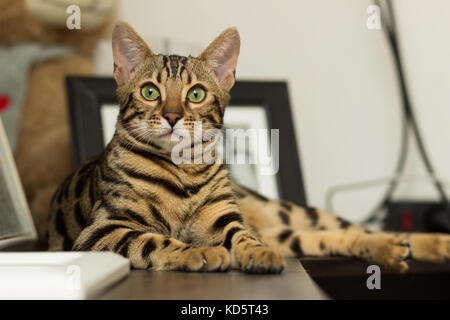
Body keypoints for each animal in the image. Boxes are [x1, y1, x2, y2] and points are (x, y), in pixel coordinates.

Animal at [47, 21, 448, 272]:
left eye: (196, 94)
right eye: (150, 91)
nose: (173, 116)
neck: (182, 172)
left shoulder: (226, 219)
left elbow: (243, 237)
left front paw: (256, 254)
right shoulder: (102, 231)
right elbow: (154, 241)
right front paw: (200, 253)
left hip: (287, 212)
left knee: (361, 229)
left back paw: (428, 243)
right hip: (289, 233)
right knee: (337, 237)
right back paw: (394, 251)